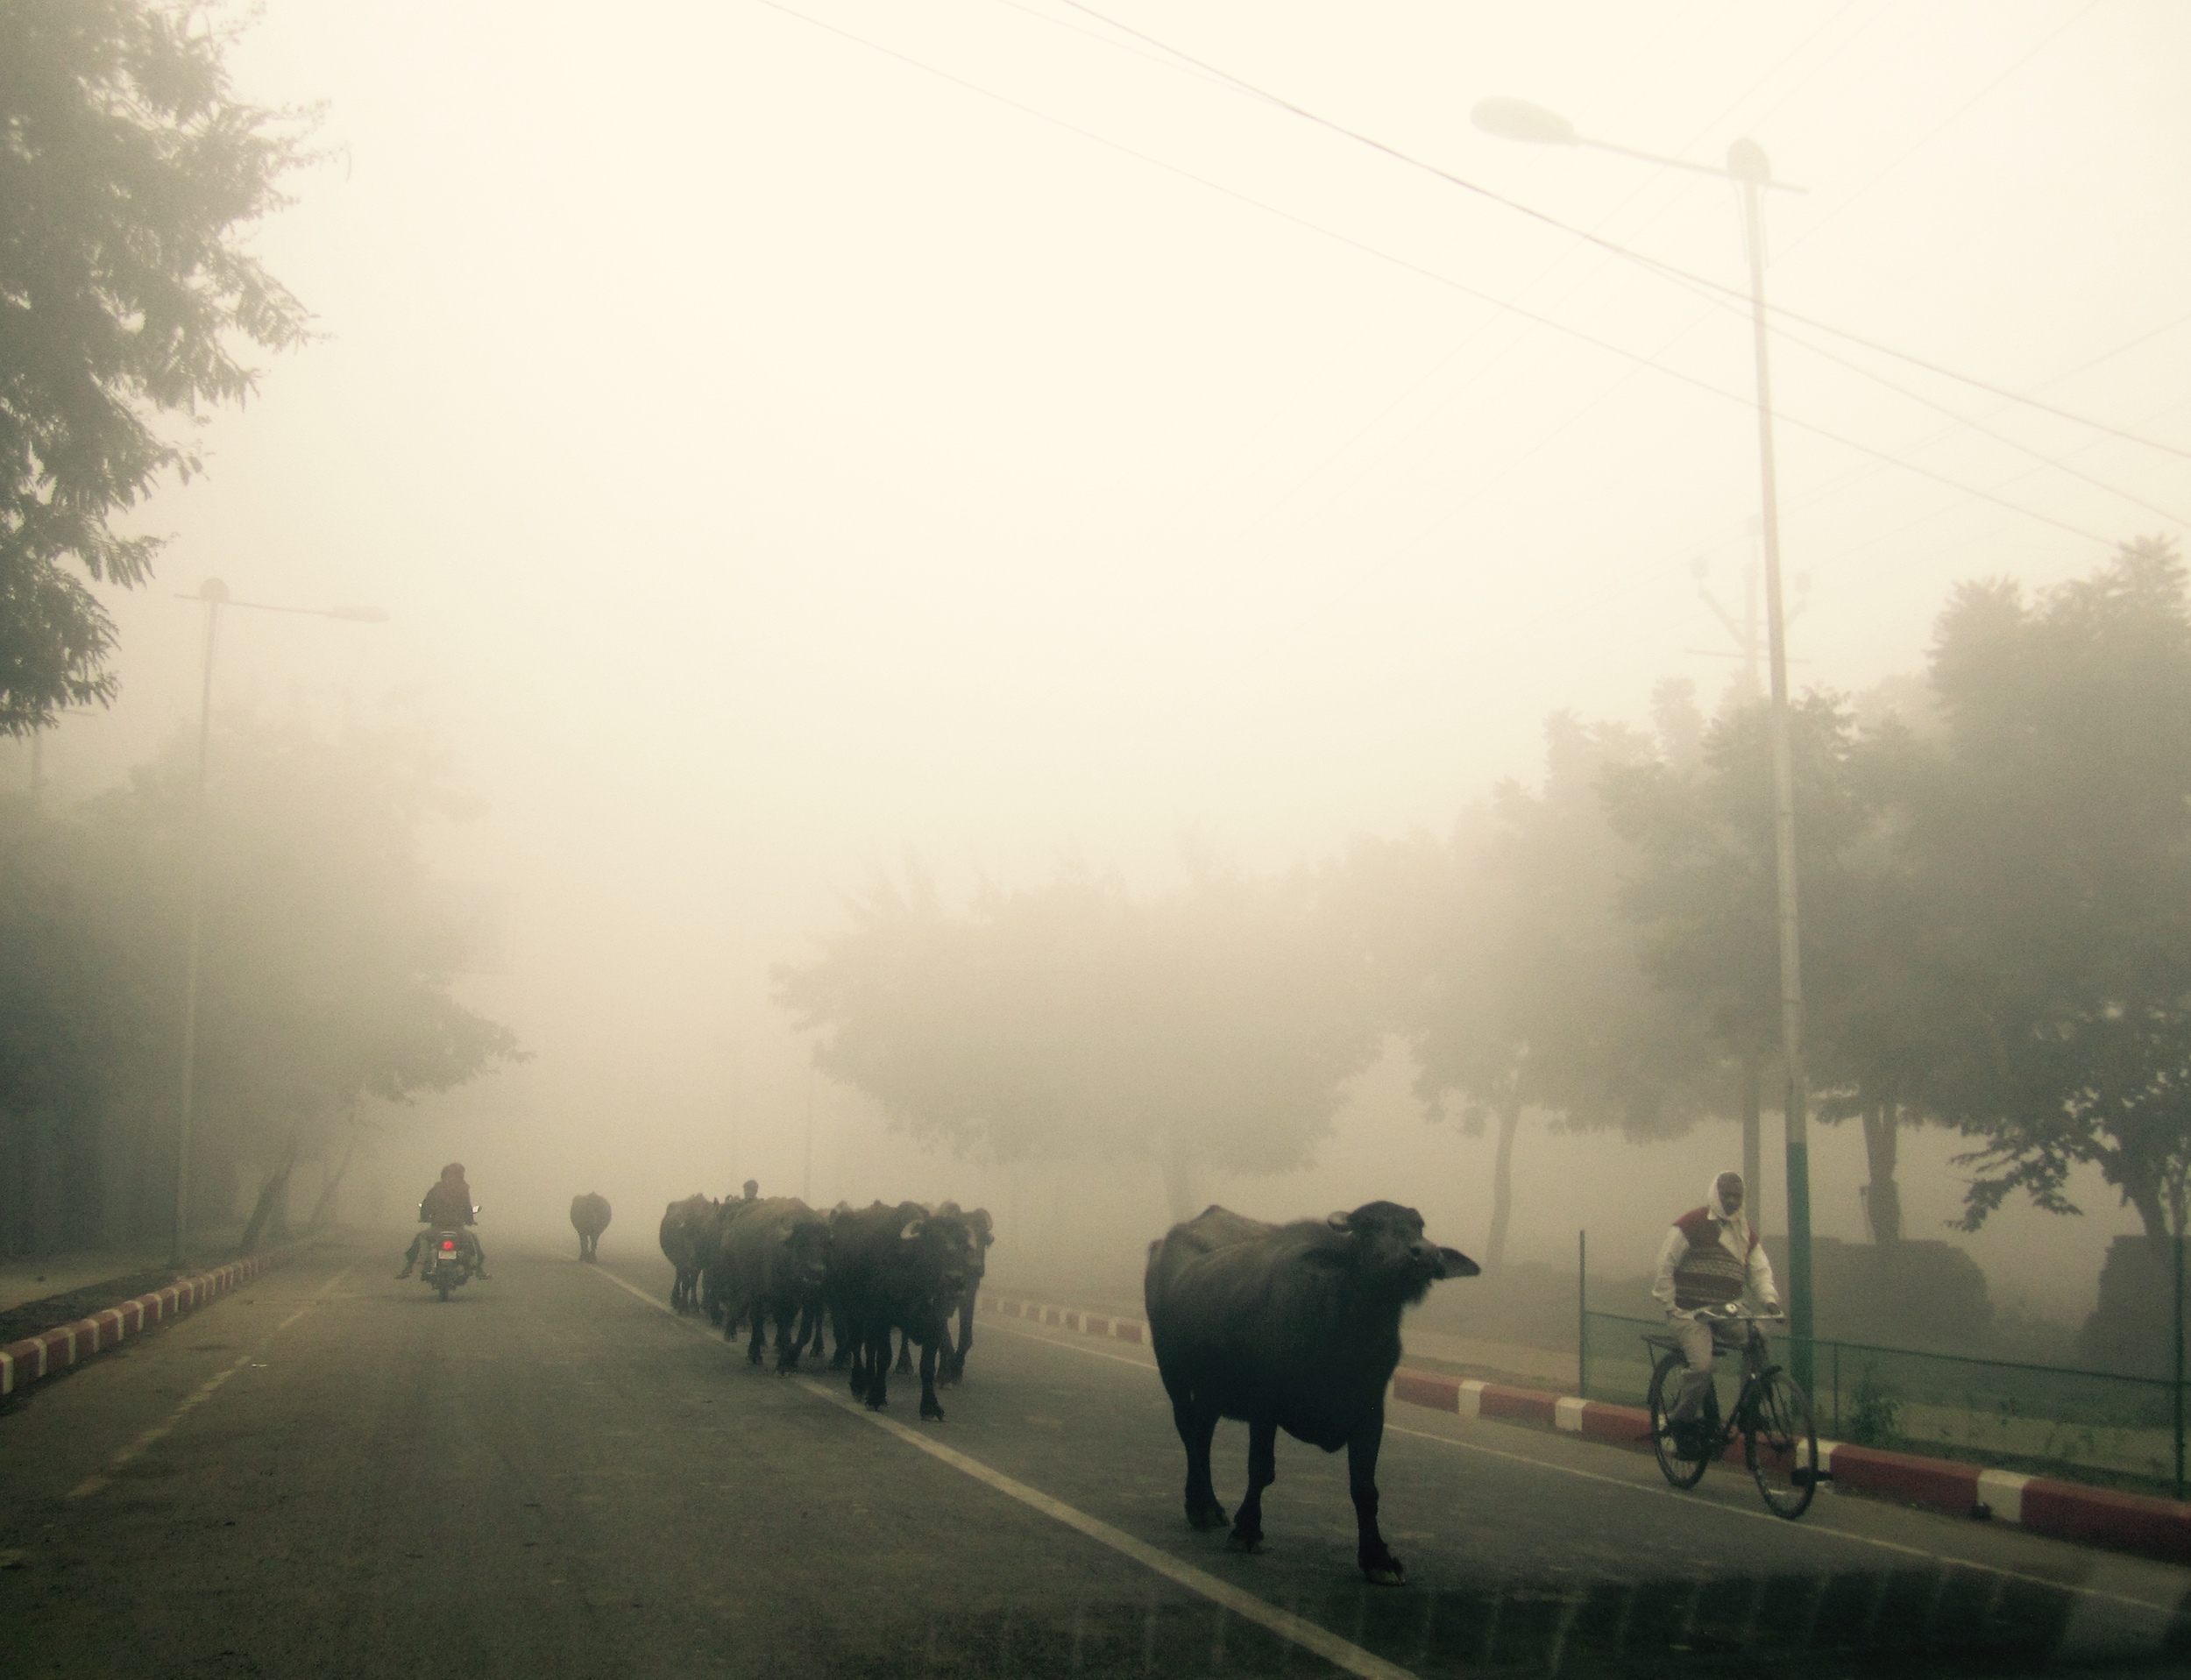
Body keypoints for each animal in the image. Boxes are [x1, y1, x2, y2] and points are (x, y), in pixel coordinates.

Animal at [714, 1191, 833, 1366]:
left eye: (824, 1245)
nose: (816, 1271)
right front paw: (783, 1362)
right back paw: (753, 1351)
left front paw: (791, 1358)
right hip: (747, 1289)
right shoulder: (777, 1299)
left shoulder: (809, 1300)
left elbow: (803, 1333)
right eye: (801, 1244)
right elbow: (783, 1330)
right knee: (753, 1317)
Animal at [828, 1200, 977, 1428]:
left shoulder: (935, 1323)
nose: (956, 1279)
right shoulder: (882, 1318)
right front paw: (877, 1398)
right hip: (851, 1309)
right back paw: (859, 1383)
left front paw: (930, 1407)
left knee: (868, 1348)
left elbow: (927, 1367)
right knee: (855, 1343)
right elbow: (884, 1357)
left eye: (961, 1244)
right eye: (932, 1243)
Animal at [1148, 1200, 1472, 1585]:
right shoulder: (1265, 1403)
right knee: (1187, 1432)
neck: (1344, 1333)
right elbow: (1261, 1468)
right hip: (1173, 1374)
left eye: (1418, 1227)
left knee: (1202, 1435)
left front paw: (1378, 1558)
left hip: (1212, 1390)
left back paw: (1209, 1506)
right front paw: (1247, 1531)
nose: (1425, 1253)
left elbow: (1365, 1489)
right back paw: (1199, 1507)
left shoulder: (1370, 1412)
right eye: (1370, 1227)